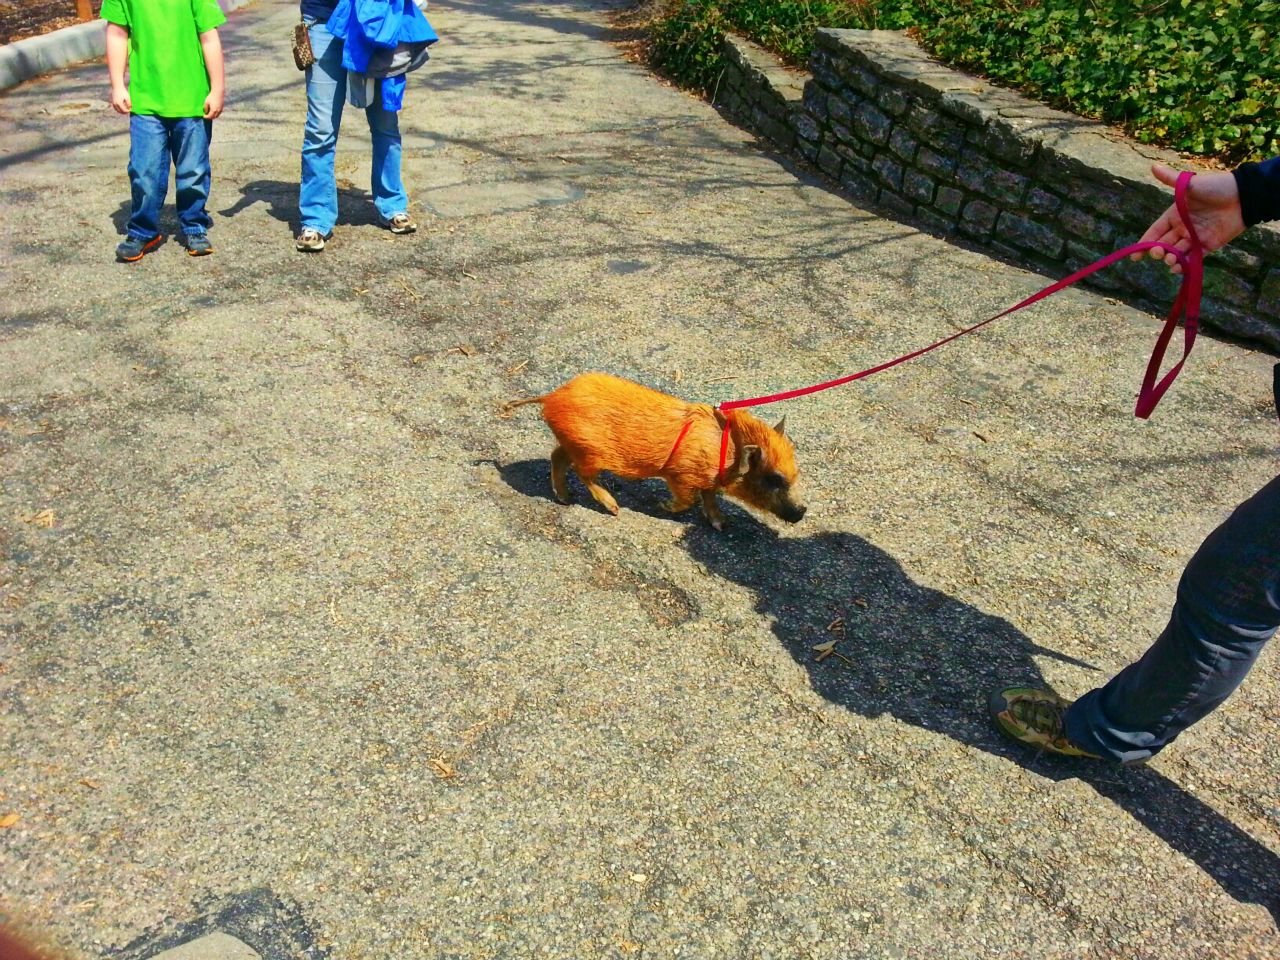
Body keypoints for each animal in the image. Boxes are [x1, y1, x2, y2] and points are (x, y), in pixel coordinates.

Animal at [503, 372, 805, 530]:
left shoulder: (707, 479)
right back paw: (614, 509)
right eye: (774, 479)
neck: (727, 453)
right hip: (589, 452)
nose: (802, 511)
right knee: (582, 473)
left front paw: (722, 524)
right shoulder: (679, 474)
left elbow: (709, 498)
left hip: (573, 444)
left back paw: (565, 499)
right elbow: (688, 500)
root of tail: (551, 396)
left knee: (557, 457)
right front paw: (660, 505)